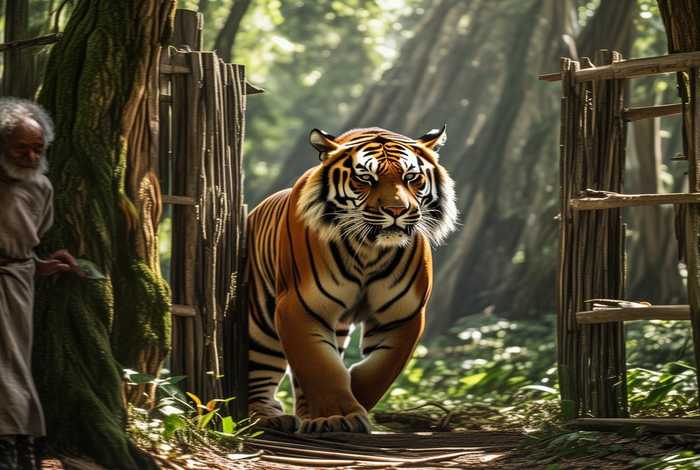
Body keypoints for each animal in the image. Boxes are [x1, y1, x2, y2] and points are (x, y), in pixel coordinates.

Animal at [246, 126, 457, 433]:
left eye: (411, 177)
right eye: (365, 178)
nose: (397, 211)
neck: (369, 250)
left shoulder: (403, 315)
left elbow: (380, 370)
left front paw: (350, 396)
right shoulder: (299, 307)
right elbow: (320, 366)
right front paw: (339, 417)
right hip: (261, 323)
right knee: (259, 368)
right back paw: (269, 416)